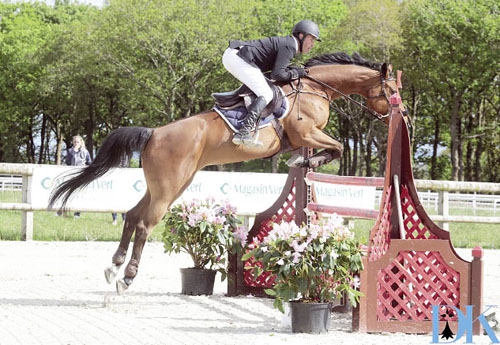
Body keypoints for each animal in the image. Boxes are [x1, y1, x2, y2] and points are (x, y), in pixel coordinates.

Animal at [47, 51, 406, 292]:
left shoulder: (306, 137)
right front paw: (306, 162)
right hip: (169, 187)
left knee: (133, 216)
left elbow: (334, 149)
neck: (316, 89)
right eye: (392, 91)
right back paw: (128, 277)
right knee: (146, 224)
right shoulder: (305, 134)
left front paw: (304, 163)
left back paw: (114, 267)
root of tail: (155, 133)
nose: (398, 113)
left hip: (167, 185)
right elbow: (338, 148)